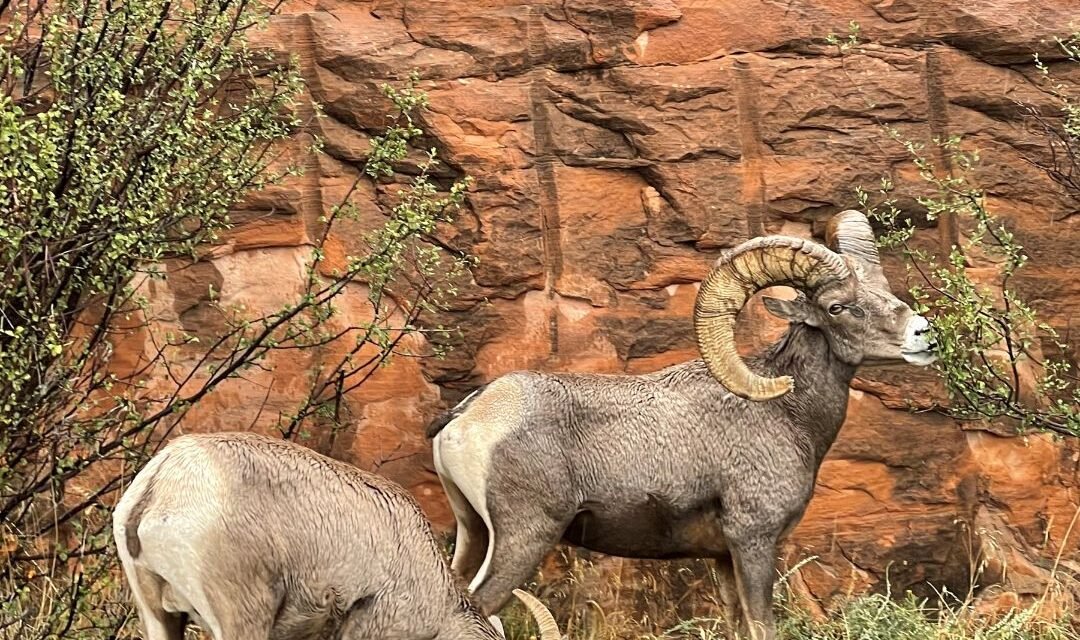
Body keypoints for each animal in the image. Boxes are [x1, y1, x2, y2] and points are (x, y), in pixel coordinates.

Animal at [425, 210, 933, 638]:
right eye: (837, 307)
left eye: (884, 289)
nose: (923, 334)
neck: (790, 416)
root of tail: (466, 417)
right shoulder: (753, 541)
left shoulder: (724, 557)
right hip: (524, 538)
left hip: (474, 534)